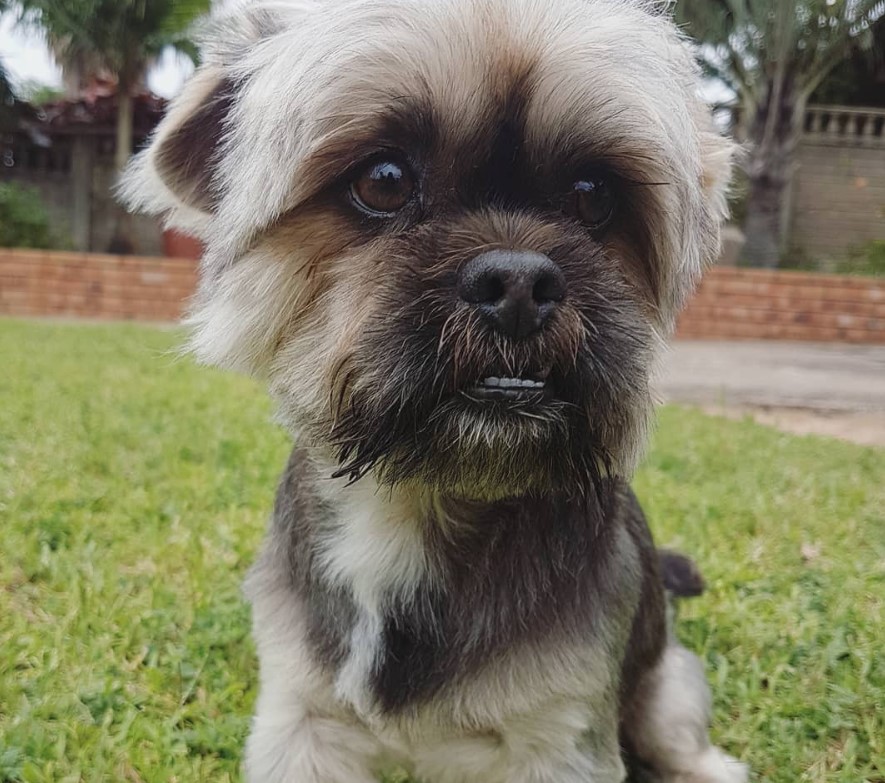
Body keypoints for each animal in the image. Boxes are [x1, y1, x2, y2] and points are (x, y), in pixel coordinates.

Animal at [121, 3, 744, 780]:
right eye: (384, 180)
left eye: (594, 196)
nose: (518, 283)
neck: (415, 503)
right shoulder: (302, 719)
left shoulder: (558, 736)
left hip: (665, 691)